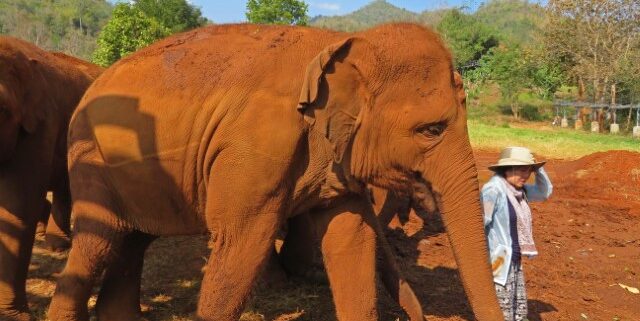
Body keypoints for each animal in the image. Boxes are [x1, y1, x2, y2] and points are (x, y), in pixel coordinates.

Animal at [47, 23, 502, 320]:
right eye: (432, 130)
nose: (420, 315)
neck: (340, 43)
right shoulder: (253, 147)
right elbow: (242, 244)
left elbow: (350, 238)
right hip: (87, 158)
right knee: (99, 241)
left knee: (133, 241)